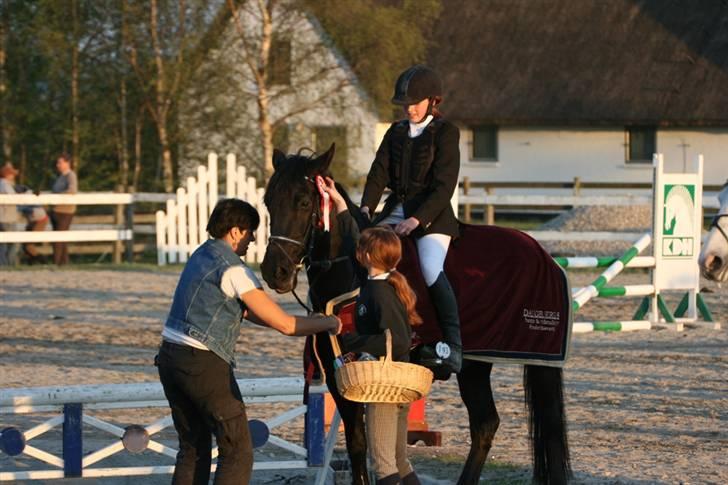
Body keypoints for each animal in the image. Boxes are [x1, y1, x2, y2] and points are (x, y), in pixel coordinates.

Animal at [258, 147, 572, 484]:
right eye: (268, 201)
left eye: (304, 202)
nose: (275, 272)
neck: (354, 273)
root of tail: (542, 254)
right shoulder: (335, 372)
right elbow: (357, 443)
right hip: (476, 365)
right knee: (486, 424)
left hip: (522, 359)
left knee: (533, 428)